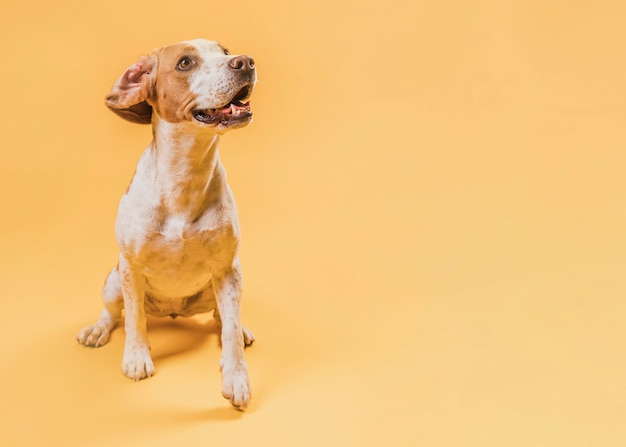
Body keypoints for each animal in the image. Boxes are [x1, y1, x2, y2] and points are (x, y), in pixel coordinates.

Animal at [77, 40, 256, 412]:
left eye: (225, 51)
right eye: (185, 63)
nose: (245, 62)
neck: (186, 177)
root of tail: (174, 312)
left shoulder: (227, 267)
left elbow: (230, 330)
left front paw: (236, 378)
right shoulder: (130, 267)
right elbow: (134, 319)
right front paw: (136, 357)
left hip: (222, 284)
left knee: (223, 318)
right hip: (113, 281)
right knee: (113, 314)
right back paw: (97, 330)